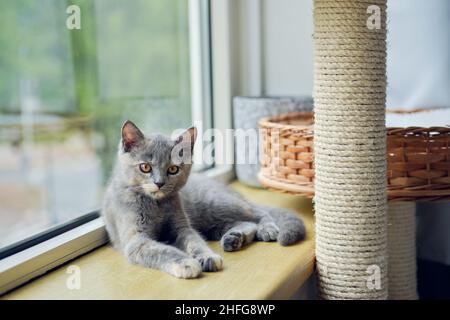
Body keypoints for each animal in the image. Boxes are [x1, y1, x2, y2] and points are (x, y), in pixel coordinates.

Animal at [102, 121, 306, 278]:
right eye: (145, 167)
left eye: (173, 169)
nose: (159, 183)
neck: (157, 205)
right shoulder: (137, 241)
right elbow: (164, 251)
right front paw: (187, 264)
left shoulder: (182, 227)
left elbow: (195, 242)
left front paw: (207, 257)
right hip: (212, 221)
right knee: (245, 223)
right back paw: (234, 238)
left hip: (216, 204)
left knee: (258, 213)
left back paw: (266, 229)